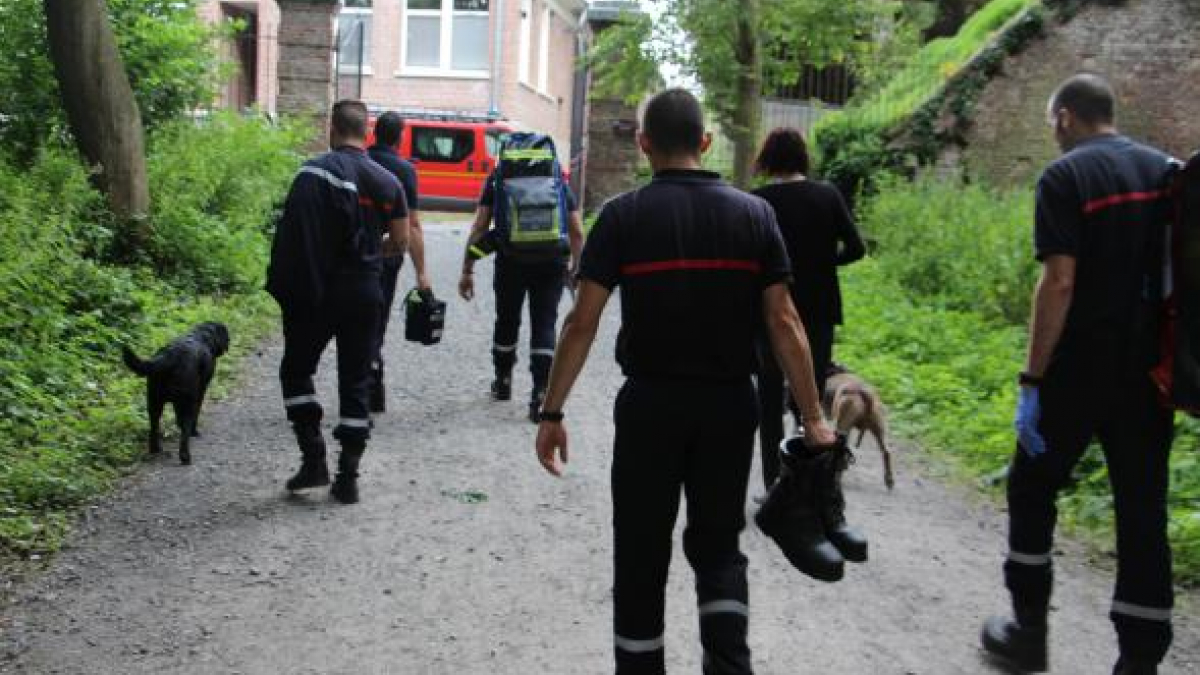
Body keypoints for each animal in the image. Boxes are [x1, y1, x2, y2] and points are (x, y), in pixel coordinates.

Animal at [123, 319, 230, 461]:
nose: (229, 342)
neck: (203, 336)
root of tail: (168, 357)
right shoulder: (200, 391)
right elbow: (195, 414)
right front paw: (194, 432)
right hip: (187, 400)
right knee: (185, 428)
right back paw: (185, 456)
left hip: (154, 402)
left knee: (154, 425)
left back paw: (155, 449)